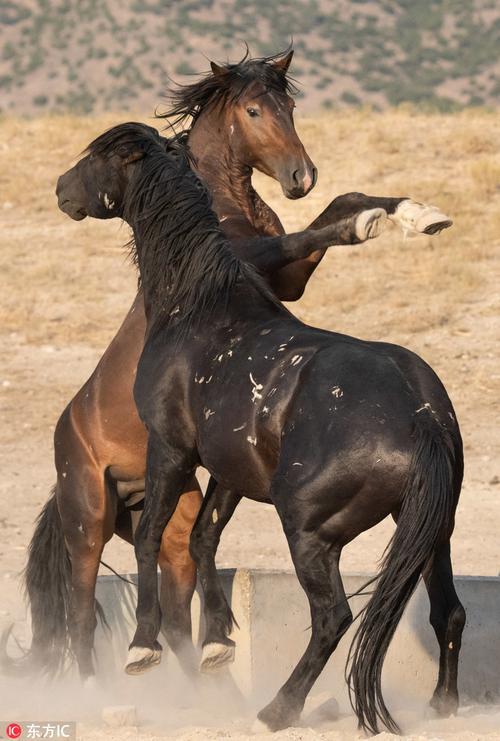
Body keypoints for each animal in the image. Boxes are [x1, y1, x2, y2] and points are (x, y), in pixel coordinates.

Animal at [11, 50, 452, 684]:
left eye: (288, 105)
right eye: (252, 110)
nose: (300, 177)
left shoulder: (283, 284)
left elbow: (334, 211)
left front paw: (414, 214)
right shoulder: (259, 266)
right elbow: (318, 229)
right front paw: (374, 221)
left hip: (178, 505)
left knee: (179, 583)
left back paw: (204, 660)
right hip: (88, 520)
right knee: (82, 613)